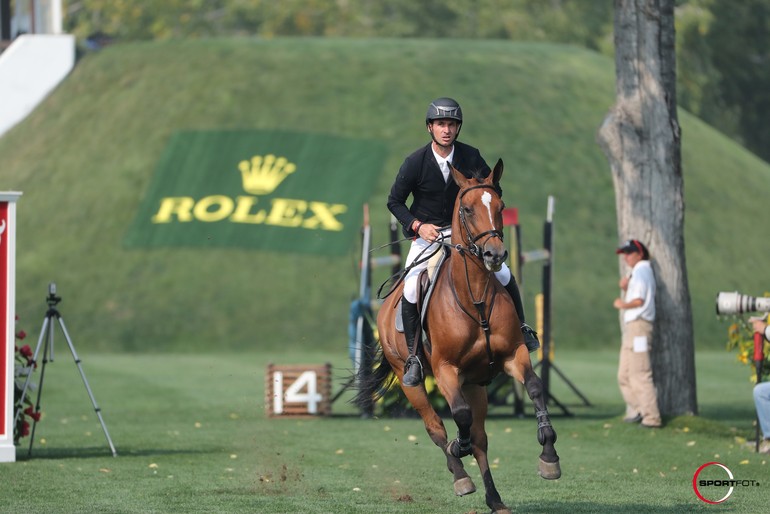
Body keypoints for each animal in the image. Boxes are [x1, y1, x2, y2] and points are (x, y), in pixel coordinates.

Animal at [354, 159, 560, 512]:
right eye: (466, 209)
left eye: (501, 207)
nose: (494, 255)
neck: (474, 297)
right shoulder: (445, 370)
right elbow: (458, 416)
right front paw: (457, 448)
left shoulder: (513, 355)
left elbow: (533, 387)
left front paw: (549, 456)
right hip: (412, 381)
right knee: (436, 427)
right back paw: (461, 476)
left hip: (475, 384)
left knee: (480, 439)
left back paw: (495, 498)